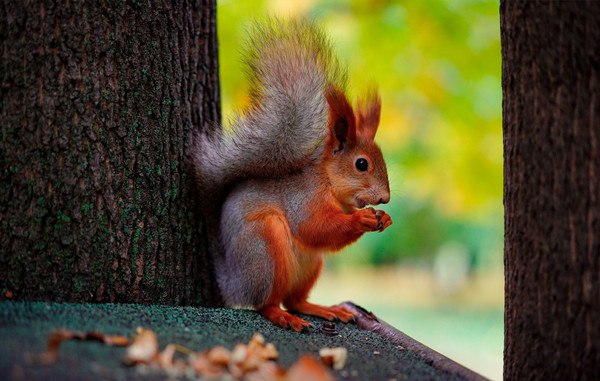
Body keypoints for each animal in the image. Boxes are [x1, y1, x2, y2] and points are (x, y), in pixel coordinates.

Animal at [190, 17, 392, 330]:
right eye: (361, 164)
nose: (385, 198)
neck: (328, 182)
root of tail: (233, 283)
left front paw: (385, 218)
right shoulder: (304, 198)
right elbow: (313, 227)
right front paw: (362, 219)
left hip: (311, 264)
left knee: (295, 300)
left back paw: (322, 309)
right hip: (266, 246)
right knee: (267, 304)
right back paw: (283, 317)